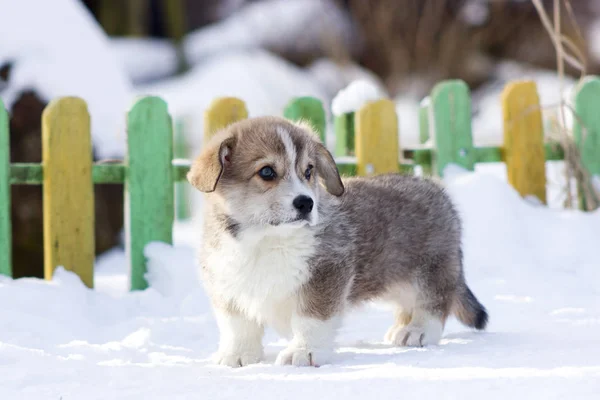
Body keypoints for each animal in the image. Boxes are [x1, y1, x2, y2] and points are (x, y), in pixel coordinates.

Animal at [188, 115, 488, 366]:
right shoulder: (228, 286)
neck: (265, 239)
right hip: (395, 281)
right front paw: (237, 356)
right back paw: (400, 329)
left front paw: (304, 352)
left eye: (308, 171)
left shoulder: (325, 275)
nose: (306, 203)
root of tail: (439, 193)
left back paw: (418, 331)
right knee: (408, 304)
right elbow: (237, 327)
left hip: (430, 270)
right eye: (267, 172)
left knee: (434, 302)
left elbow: (310, 320)